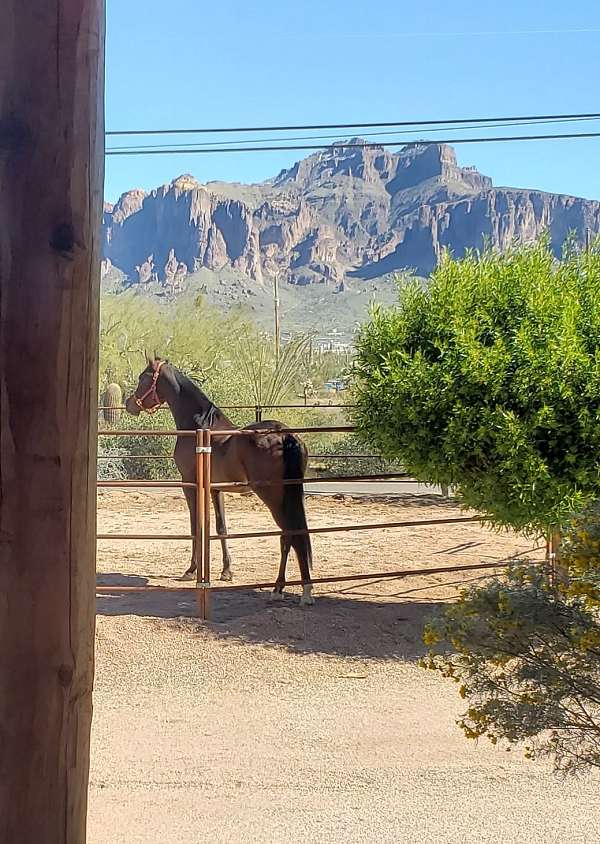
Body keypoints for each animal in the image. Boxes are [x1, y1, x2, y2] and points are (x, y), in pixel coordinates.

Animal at [125, 358, 316, 608]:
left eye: (143, 378)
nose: (129, 404)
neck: (198, 426)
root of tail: (285, 435)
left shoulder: (190, 485)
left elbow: (196, 526)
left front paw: (191, 570)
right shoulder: (216, 489)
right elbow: (221, 527)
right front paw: (226, 571)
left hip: (273, 497)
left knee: (288, 535)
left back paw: (286, 590)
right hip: (291, 495)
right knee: (294, 534)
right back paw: (296, 588)